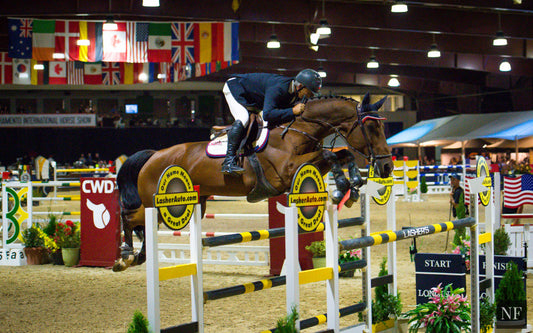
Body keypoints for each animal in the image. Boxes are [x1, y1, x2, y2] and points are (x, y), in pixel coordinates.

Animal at [112, 92, 392, 272]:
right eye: (372, 128)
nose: (387, 166)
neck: (296, 130)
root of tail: (153, 155)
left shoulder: (304, 166)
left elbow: (341, 154)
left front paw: (352, 186)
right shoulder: (286, 171)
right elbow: (329, 154)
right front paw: (342, 189)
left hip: (191, 206)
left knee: (141, 225)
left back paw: (137, 257)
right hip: (160, 204)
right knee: (129, 216)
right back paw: (124, 257)